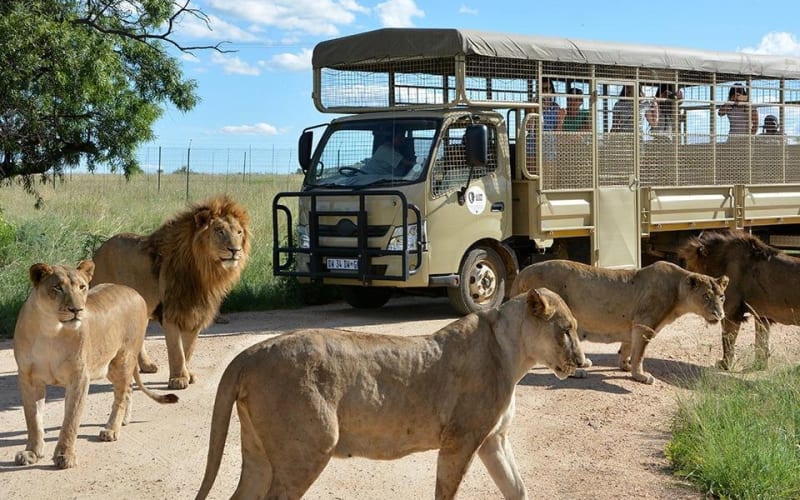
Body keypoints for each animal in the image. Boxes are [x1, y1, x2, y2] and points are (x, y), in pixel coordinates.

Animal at [13, 260, 178, 469]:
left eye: (82, 287)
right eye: (57, 287)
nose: (76, 310)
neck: (50, 330)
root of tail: (135, 292)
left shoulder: (79, 378)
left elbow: (71, 420)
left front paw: (65, 456)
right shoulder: (29, 378)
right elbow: (33, 419)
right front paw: (31, 453)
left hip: (122, 360)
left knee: (121, 395)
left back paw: (111, 430)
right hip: (109, 367)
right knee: (128, 389)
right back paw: (124, 421)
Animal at [90, 195, 251, 390]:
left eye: (239, 232)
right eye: (219, 231)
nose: (235, 250)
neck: (204, 272)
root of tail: (98, 251)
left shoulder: (196, 312)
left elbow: (188, 349)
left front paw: (187, 374)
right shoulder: (171, 311)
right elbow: (177, 350)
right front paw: (178, 379)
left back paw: (146, 366)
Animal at [195, 288, 586, 500]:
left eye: (576, 329)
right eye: (566, 330)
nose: (582, 361)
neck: (514, 354)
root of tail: (249, 354)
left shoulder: (493, 440)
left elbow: (517, 488)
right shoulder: (461, 439)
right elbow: (447, 490)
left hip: (259, 453)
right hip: (309, 447)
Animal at [509, 259, 728, 384]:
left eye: (722, 297)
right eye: (706, 297)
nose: (720, 315)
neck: (678, 291)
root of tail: (521, 273)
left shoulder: (633, 325)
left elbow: (627, 348)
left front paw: (625, 366)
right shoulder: (644, 324)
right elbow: (640, 354)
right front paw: (640, 376)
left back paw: (584, 363)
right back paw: (578, 372)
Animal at [680, 229, 800, 370]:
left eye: (690, 270)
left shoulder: (731, 313)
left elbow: (727, 341)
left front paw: (725, 365)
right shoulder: (762, 316)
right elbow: (761, 343)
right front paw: (759, 366)